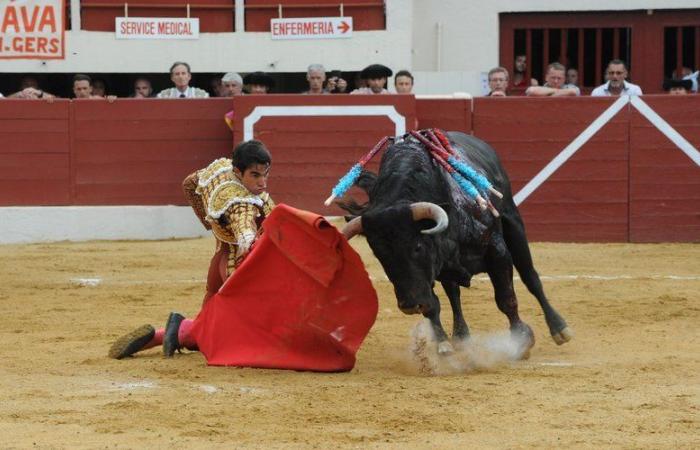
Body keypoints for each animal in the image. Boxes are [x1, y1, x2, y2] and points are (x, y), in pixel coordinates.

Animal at [340, 130, 576, 356]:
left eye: (417, 247)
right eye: (379, 254)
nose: (409, 306)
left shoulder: (497, 250)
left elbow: (506, 297)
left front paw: (521, 339)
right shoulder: (431, 271)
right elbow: (433, 305)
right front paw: (444, 344)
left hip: (513, 222)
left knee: (530, 277)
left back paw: (559, 328)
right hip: (448, 269)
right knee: (453, 294)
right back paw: (461, 336)